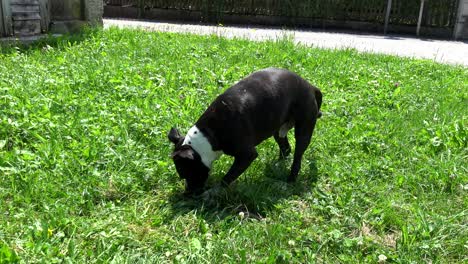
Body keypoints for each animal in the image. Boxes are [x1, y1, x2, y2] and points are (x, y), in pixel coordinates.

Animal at [168, 67, 322, 194]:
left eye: (186, 173)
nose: (188, 192)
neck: (208, 135)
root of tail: (310, 86)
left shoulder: (246, 155)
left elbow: (227, 177)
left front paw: (213, 192)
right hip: (277, 128)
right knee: (286, 148)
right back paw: (278, 165)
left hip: (303, 130)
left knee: (297, 157)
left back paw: (289, 181)